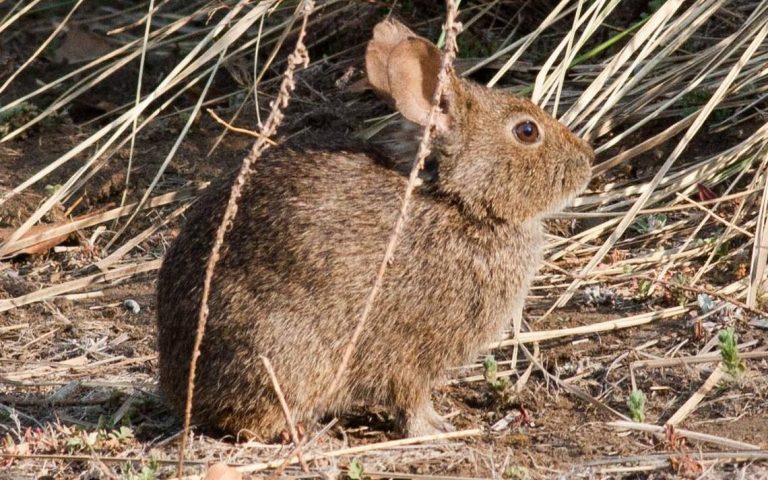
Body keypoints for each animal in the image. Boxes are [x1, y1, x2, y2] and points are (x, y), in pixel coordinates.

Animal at [156, 18, 594, 440]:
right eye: (526, 131)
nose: (587, 158)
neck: (457, 200)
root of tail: (178, 389)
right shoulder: (410, 350)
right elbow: (411, 397)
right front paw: (434, 430)